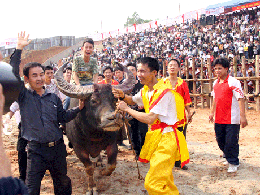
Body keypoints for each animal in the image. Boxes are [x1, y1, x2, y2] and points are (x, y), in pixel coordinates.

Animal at [54, 63, 136, 194]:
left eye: (114, 99)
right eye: (93, 101)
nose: (113, 118)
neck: (94, 134)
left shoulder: (112, 144)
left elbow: (111, 165)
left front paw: (103, 172)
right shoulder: (78, 148)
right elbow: (89, 168)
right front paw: (91, 187)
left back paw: (99, 161)